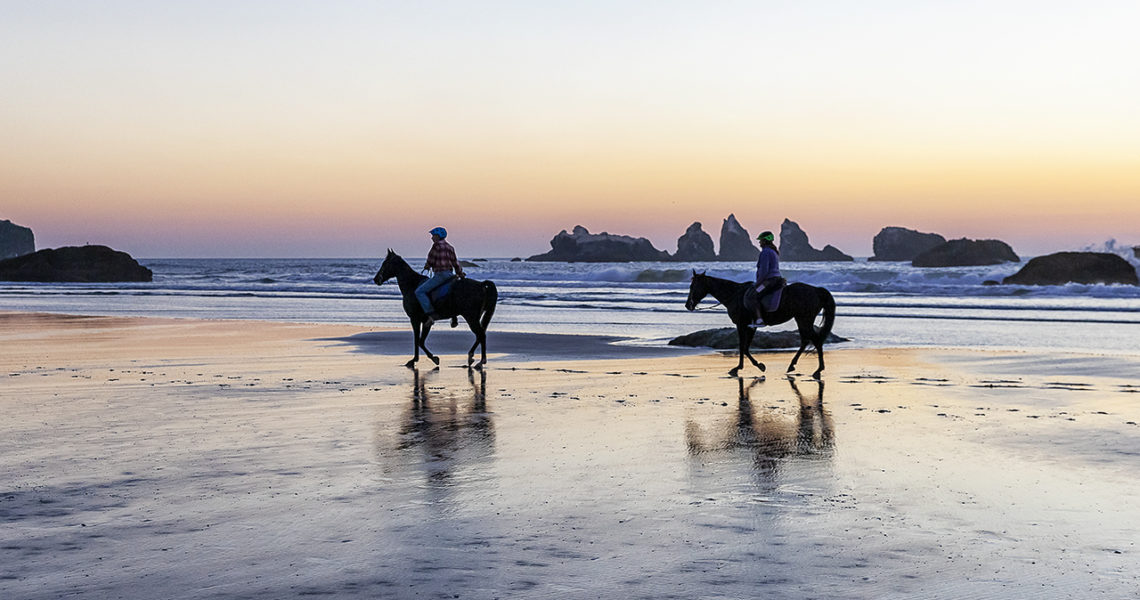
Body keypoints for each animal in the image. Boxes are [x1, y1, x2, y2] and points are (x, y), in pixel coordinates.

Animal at [684, 273, 839, 380]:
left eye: (693, 286)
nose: (688, 305)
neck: (734, 295)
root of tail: (816, 290)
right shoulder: (751, 326)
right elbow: (745, 347)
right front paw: (756, 365)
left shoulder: (742, 324)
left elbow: (742, 346)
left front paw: (741, 367)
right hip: (802, 320)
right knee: (806, 340)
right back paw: (793, 365)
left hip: (804, 319)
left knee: (815, 340)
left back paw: (818, 369)